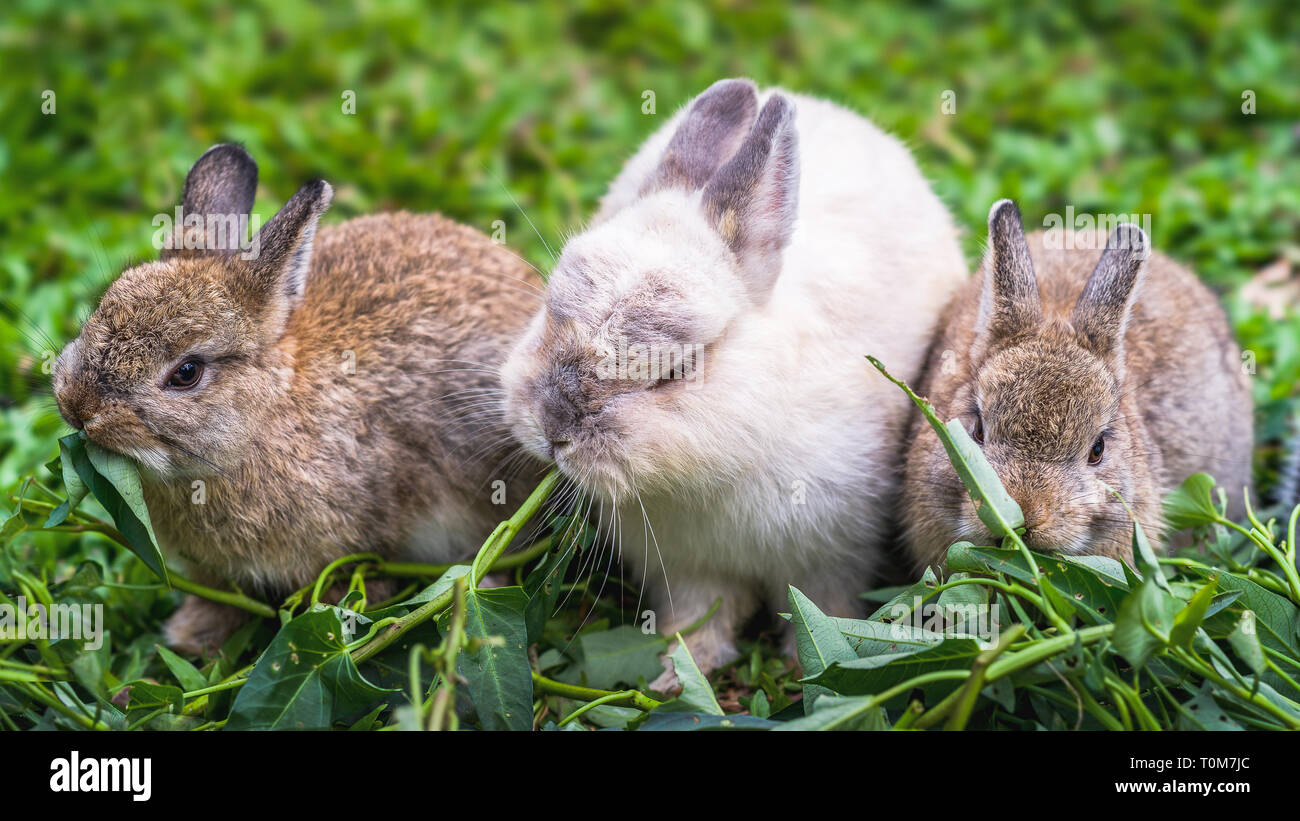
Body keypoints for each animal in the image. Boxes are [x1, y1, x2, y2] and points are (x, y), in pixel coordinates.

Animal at [498, 78, 968, 689]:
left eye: (674, 371)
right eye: (550, 311)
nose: (554, 430)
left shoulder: (832, 556)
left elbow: (822, 611)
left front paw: (809, 667)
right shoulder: (688, 571)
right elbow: (700, 622)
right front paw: (679, 676)